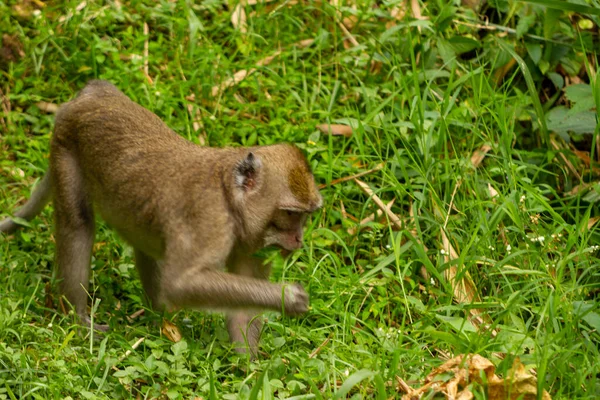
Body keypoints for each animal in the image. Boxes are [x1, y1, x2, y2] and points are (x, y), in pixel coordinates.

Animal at [1, 79, 324, 354]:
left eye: (306, 216)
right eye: (289, 213)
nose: (298, 239)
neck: (228, 197)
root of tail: (93, 93)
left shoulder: (251, 245)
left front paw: (250, 370)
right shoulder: (208, 221)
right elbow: (181, 283)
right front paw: (288, 297)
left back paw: (162, 318)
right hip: (66, 147)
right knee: (78, 223)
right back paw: (80, 320)